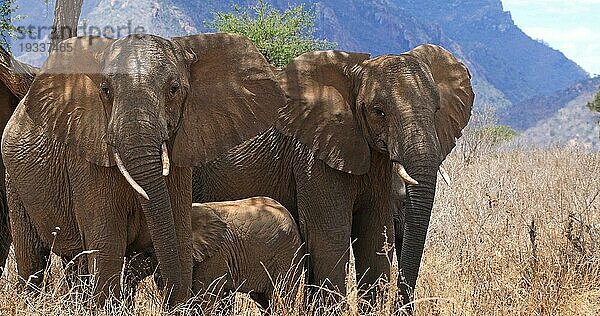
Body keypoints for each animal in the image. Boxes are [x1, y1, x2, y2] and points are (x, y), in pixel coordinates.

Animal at [1, 32, 284, 304]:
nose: (172, 297)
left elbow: (179, 232)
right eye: (105, 90)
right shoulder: (85, 157)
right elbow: (107, 241)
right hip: (15, 184)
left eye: (174, 89)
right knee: (32, 259)